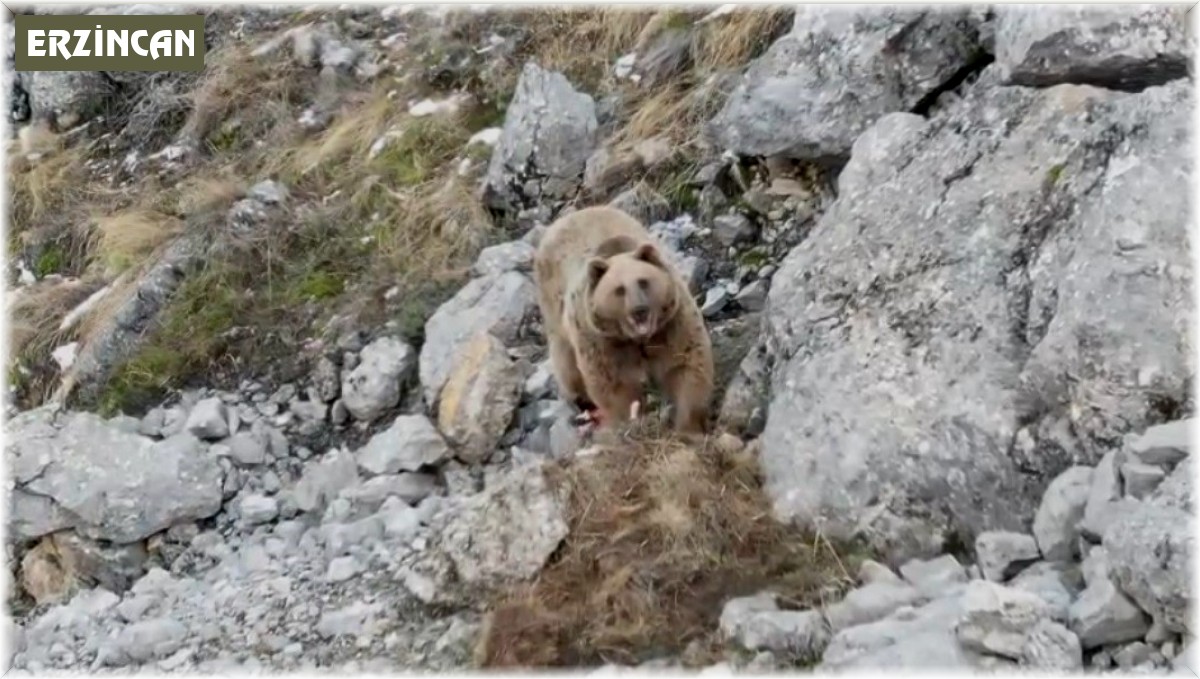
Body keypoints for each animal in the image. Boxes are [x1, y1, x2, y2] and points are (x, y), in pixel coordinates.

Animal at [535, 205, 710, 434]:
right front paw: (632, 422)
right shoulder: (602, 339)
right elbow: (613, 384)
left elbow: (686, 364)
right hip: (555, 310)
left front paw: (687, 425)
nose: (639, 310)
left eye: (643, 281)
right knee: (567, 364)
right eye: (619, 290)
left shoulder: (671, 324)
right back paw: (582, 402)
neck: (638, 339)